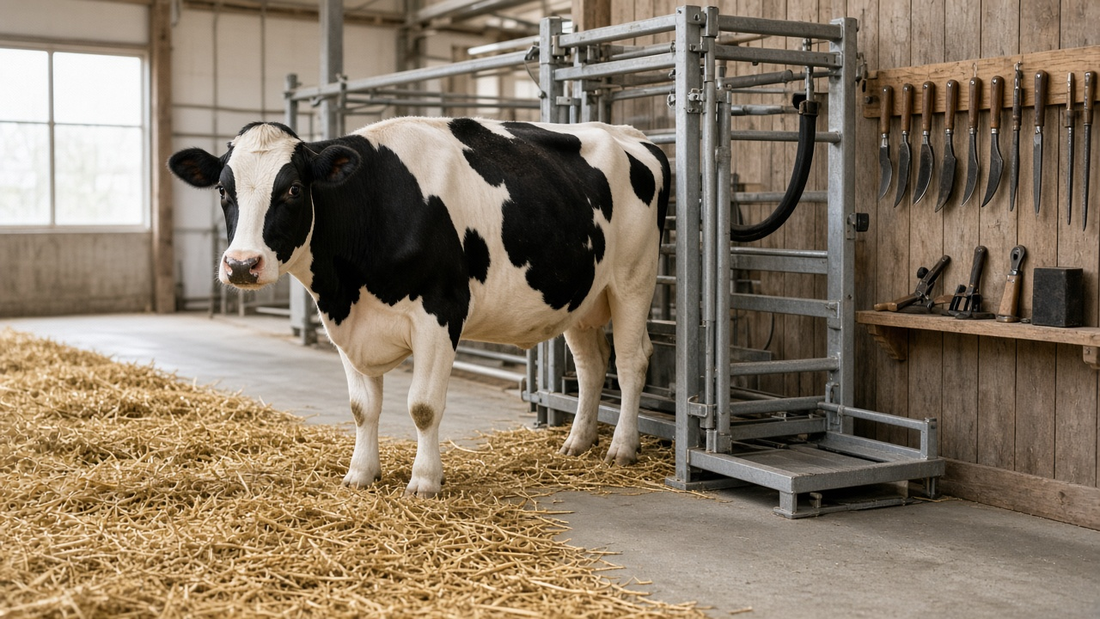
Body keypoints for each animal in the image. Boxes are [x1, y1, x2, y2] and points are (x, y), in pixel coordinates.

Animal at [168, 117, 670, 498]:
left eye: (292, 189)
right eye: (223, 191)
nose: (241, 264)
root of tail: (629, 133)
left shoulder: (440, 313)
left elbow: (423, 407)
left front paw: (425, 481)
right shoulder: (346, 324)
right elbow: (361, 407)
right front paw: (360, 474)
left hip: (634, 279)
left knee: (631, 361)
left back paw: (622, 448)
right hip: (582, 296)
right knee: (591, 365)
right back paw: (578, 442)